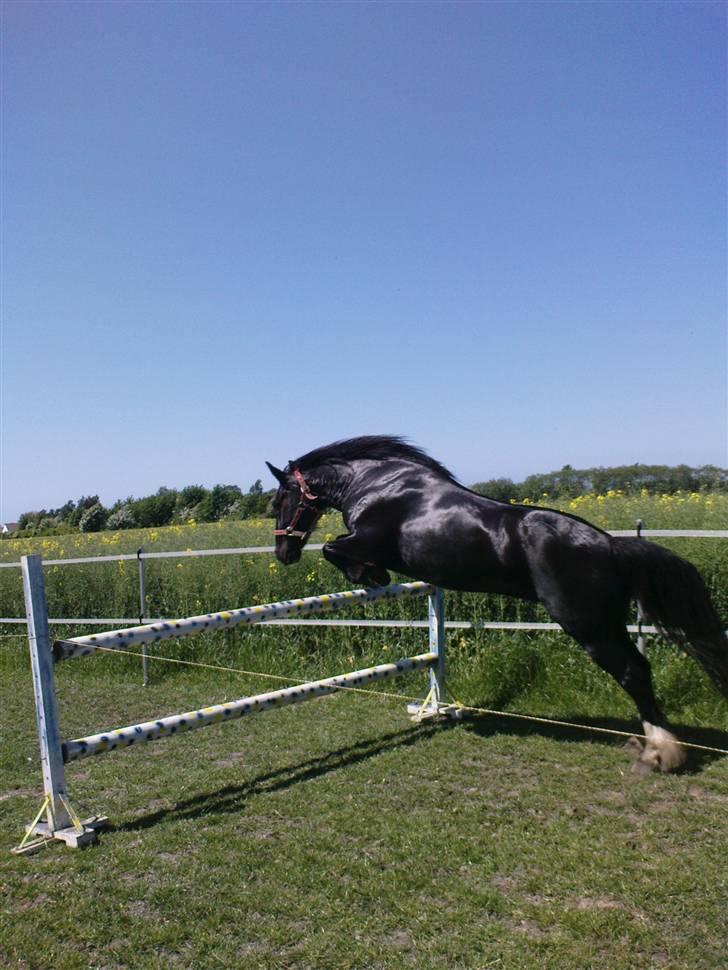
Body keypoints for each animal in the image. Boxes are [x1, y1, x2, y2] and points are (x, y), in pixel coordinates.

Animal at [266, 436, 727, 772]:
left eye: (278, 502)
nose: (283, 554)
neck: (379, 486)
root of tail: (611, 546)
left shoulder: (366, 539)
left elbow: (334, 548)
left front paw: (370, 575)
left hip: (585, 623)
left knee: (631, 672)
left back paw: (660, 753)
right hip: (606, 622)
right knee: (640, 669)